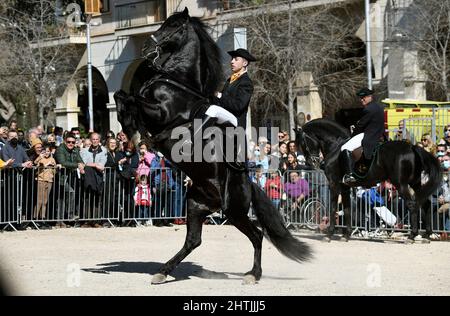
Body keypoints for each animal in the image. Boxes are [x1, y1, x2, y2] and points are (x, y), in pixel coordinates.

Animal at [114, 8, 312, 284]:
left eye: (174, 25)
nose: (146, 47)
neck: (177, 82)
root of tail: (249, 183)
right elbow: (121, 96)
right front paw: (132, 132)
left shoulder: (161, 113)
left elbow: (130, 98)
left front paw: (134, 135)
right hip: (196, 205)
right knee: (193, 241)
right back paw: (163, 272)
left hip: (233, 210)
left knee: (257, 235)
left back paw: (253, 275)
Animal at [296, 118, 442, 242]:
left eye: (302, 143)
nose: (312, 163)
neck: (335, 147)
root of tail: (412, 147)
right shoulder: (344, 186)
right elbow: (347, 208)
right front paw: (346, 234)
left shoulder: (334, 184)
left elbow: (332, 208)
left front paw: (330, 233)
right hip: (415, 183)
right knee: (425, 204)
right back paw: (428, 234)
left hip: (401, 184)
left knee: (412, 204)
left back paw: (412, 235)